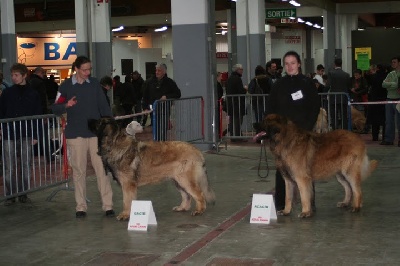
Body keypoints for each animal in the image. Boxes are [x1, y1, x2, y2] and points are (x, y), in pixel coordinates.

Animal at [88, 117, 216, 220]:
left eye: (98, 122)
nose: (88, 120)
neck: (114, 144)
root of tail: (196, 150)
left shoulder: (128, 184)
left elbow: (127, 201)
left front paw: (125, 215)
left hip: (185, 179)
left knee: (199, 194)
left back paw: (199, 210)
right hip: (178, 180)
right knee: (186, 195)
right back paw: (182, 207)